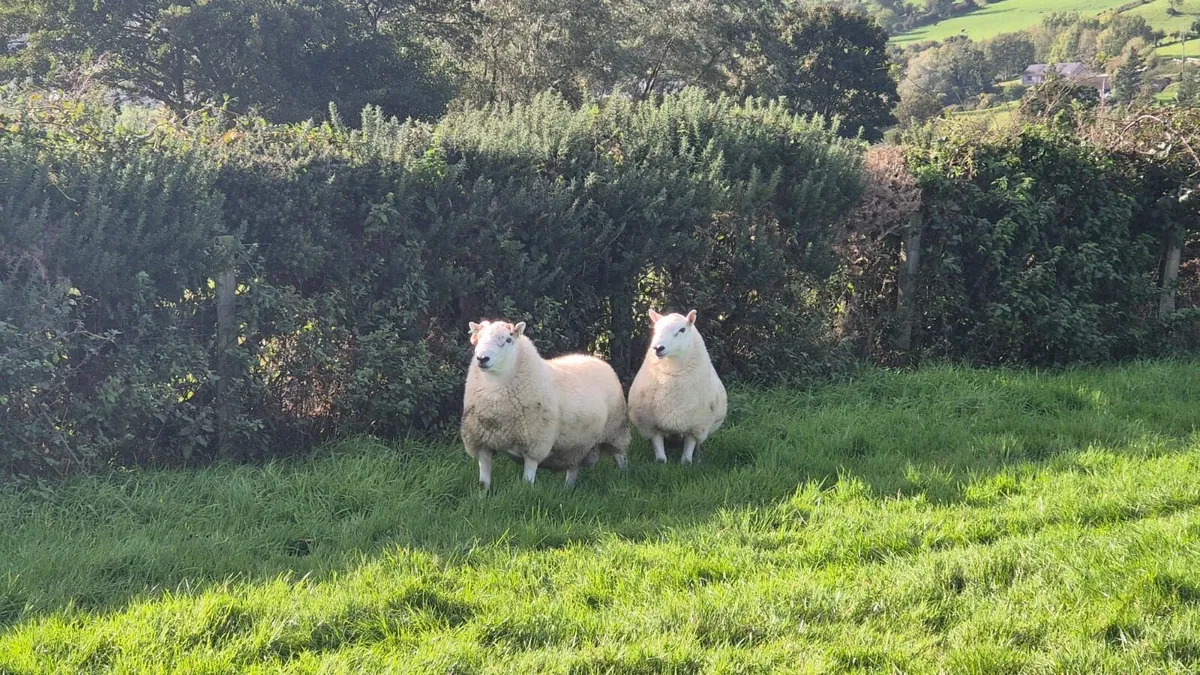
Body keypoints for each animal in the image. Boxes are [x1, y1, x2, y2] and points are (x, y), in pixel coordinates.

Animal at [460, 319, 630, 491]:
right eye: (478, 339)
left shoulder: (534, 446)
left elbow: (527, 482)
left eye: (508, 340)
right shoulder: (481, 444)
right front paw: (482, 496)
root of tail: (596, 359)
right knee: (573, 467)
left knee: (620, 457)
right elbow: (483, 483)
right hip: (576, 444)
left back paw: (624, 479)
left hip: (616, 431)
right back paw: (567, 489)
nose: (482, 358)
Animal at [627, 309, 727, 464]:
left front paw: (687, 462)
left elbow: (688, 451)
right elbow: (660, 454)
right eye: (656, 329)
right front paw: (660, 462)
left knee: (698, 444)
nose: (658, 348)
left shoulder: (697, 425)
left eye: (682, 330)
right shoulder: (651, 425)